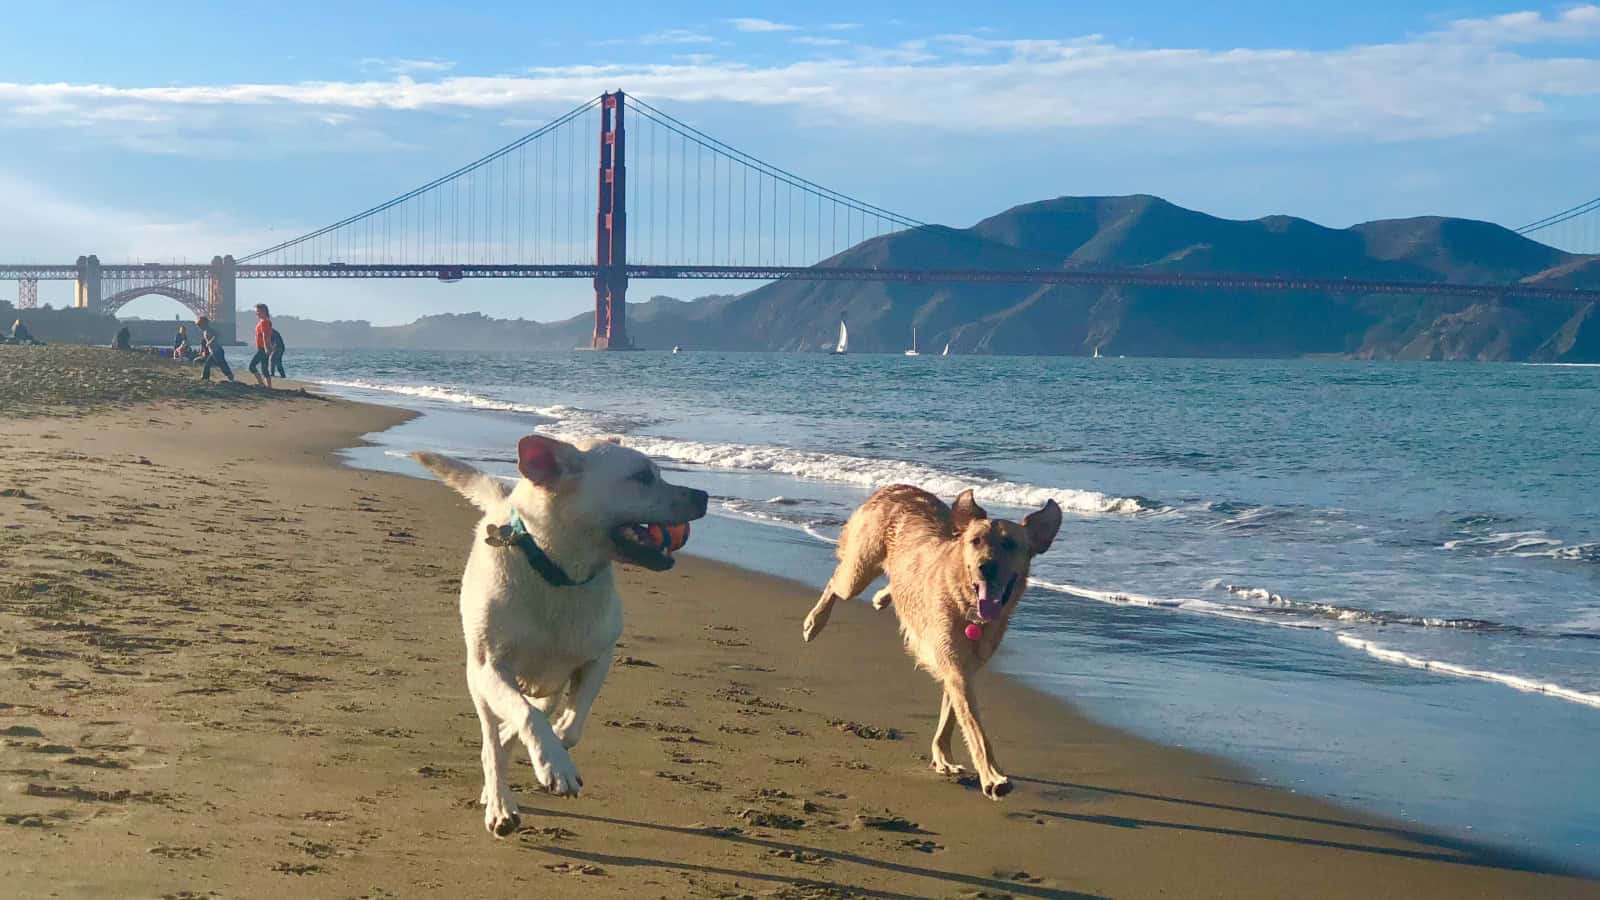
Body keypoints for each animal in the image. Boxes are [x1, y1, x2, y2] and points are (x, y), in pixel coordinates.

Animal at [419, 432, 707, 832]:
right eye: (643, 477)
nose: (704, 496)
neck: (561, 574)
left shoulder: (598, 657)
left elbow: (570, 724)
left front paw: (555, 746)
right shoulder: (491, 668)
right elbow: (525, 715)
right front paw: (553, 765)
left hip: (548, 682)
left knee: (527, 718)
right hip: (479, 682)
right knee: (492, 742)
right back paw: (500, 804)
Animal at [806, 486, 1056, 794]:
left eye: (1010, 544)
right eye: (975, 541)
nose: (985, 567)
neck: (968, 608)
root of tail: (896, 487)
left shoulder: (961, 667)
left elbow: (951, 717)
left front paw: (943, 756)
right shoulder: (955, 667)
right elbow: (975, 728)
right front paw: (992, 776)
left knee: (892, 583)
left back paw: (882, 597)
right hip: (858, 571)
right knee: (835, 582)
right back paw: (815, 622)